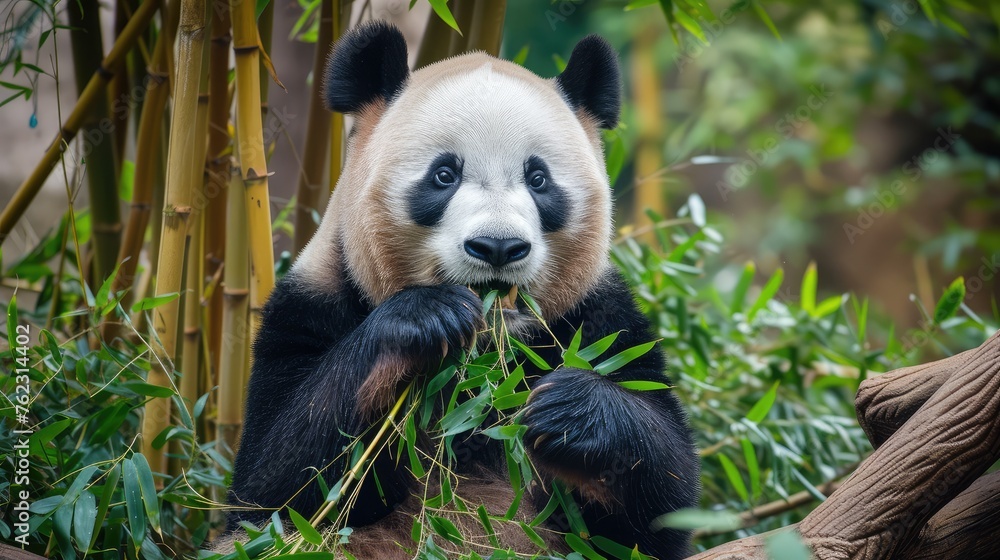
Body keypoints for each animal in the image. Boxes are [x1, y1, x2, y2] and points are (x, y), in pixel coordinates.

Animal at [225, 21, 700, 560]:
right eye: (444, 175)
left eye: (539, 179)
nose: (498, 247)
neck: (489, 357)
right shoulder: (310, 304)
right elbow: (277, 486)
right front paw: (426, 317)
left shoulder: (600, 319)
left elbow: (660, 506)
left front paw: (569, 409)